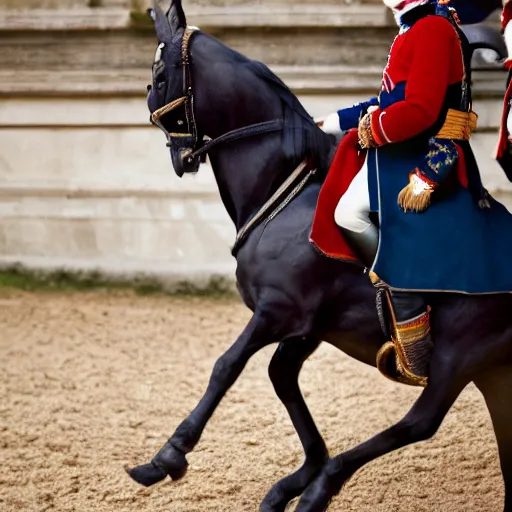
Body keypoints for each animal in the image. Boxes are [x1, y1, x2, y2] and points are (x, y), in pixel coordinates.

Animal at [130, 2, 512, 510]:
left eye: (158, 72)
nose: (178, 158)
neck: (283, 191)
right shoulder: (309, 325)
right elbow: (280, 375)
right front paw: (300, 471)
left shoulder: (278, 310)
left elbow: (226, 366)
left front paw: (168, 456)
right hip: (495, 370)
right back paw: (313, 482)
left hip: (460, 356)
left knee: (420, 423)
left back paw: (323, 486)